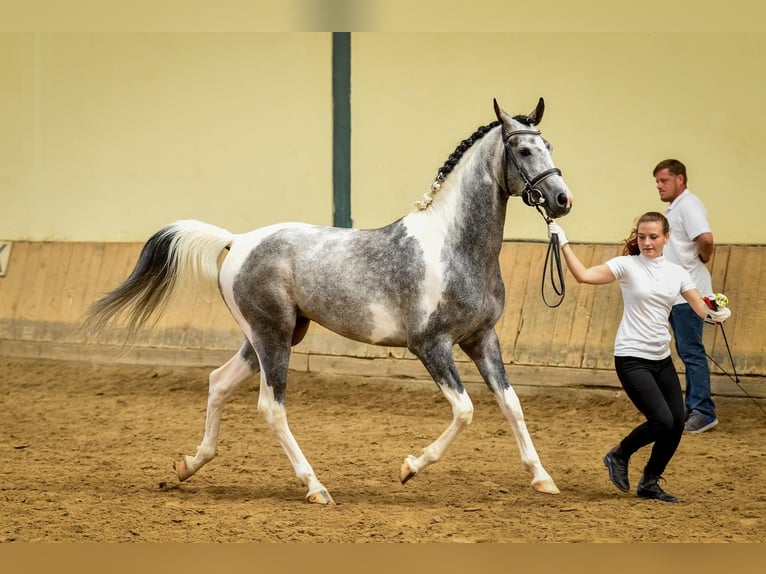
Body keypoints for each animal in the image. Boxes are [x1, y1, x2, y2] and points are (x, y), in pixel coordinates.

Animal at [85, 98, 573, 504]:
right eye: (523, 150)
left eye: (548, 145)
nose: (562, 200)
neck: (454, 247)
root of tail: (237, 240)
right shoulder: (430, 345)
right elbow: (466, 411)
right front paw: (408, 467)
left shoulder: (482, 338)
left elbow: (511, 404)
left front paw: (543, 479)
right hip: (272, 337)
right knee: (271, 407)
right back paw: (315, 487)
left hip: (270, 336)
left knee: (218, 381)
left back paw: (189, 465)